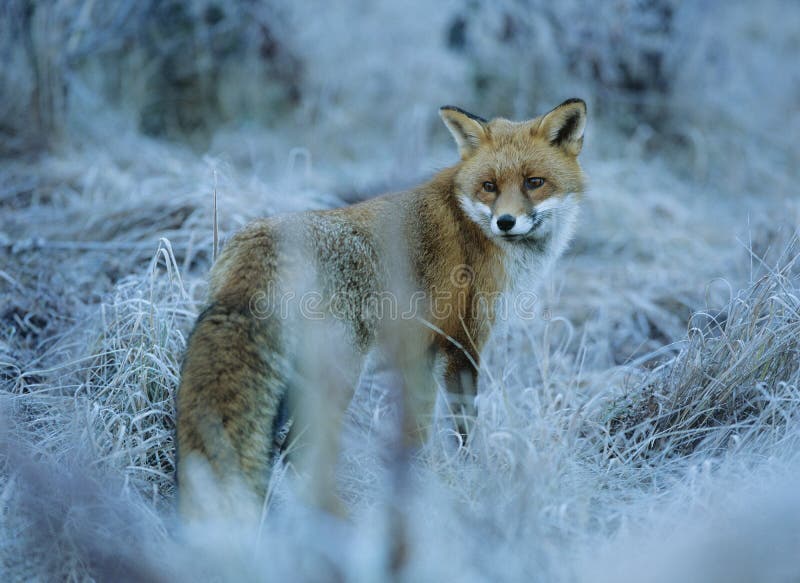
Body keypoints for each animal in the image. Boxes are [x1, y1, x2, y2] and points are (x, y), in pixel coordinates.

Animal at [177, 98, 588, 524]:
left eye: (534, 182)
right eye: (489, 186)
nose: (506, 222)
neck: (473, 227)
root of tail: (258, 242)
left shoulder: (421, 355)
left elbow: (417, 433)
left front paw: (415, 493)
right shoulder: (463, 345)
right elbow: (463, 431)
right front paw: (471, 481)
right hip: (338, 377)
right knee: (297, 452)